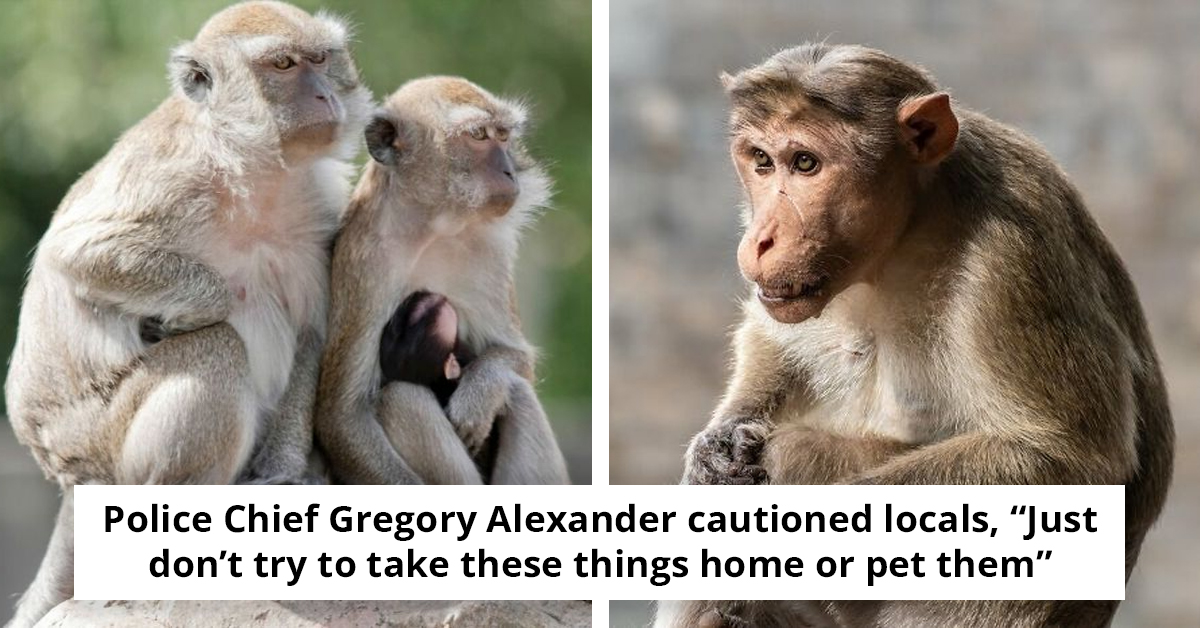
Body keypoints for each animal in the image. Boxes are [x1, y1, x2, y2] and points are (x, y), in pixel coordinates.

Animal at [2, 3, 370, 625]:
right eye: (283, 65)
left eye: (322, 60)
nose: (324, 95)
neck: (254, 173)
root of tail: (69, 479)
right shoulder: (172, 178)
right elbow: (78, 253)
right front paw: (188, 311)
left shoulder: (320, 211)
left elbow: (313, 332)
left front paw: (286, 471)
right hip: (102, 444)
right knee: (216, 348)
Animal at [315, 76, 570, 486]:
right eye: (478, 135)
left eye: (503, 135)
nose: (510, 172)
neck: (434, 226)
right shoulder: (366, 260)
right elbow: (342, 416)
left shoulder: (491, 253)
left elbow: (518, 361)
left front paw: (479, 392)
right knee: (401, 399)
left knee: (517, 392)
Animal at [668, 44, 1174, 628]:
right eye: (761, 160)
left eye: (805, 163)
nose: (760, 239)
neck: (910, 229)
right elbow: (771, 339)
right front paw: (716, 444)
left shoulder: (1015, 254)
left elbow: (1073, 460)